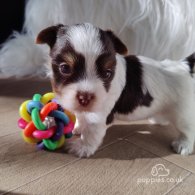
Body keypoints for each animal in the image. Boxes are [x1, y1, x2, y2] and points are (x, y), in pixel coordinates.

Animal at [36, 23, 195, 157]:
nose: (85, 97)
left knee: (188, 129)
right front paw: (79, 128)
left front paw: (82, 147)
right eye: (65, 68)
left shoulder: (98, 115)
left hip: (183, 113)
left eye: (107, 74)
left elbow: (91, 132)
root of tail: (184, 67)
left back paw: (184, 145)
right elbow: (81, 116)